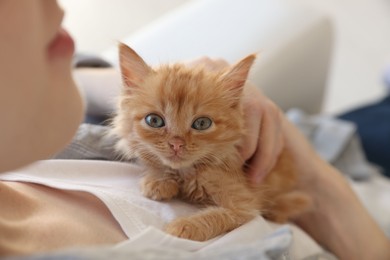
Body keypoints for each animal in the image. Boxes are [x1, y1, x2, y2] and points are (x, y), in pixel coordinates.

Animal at [111, 43, 312, 241]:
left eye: (202, 123)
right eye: (154, 120)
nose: (176, 144)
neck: (188, 172)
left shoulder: (245, 206)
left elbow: (217, 216)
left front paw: (185, 226)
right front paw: (159, 181)